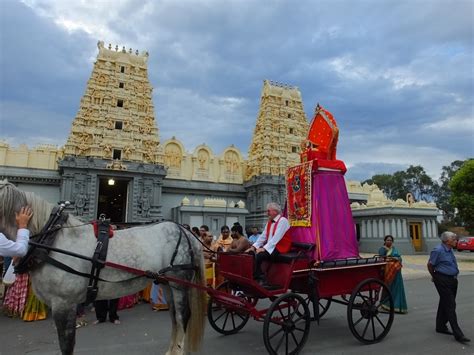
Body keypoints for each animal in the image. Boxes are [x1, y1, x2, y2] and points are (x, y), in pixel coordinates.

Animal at [0, 182, 207, 354]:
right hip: (165, 282)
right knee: (174, 317)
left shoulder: (64, 303)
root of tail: (186, 232)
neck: (51, 239)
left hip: (179, 283)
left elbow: (66, 345)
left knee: (182, 316)